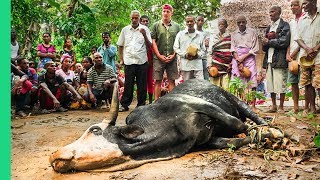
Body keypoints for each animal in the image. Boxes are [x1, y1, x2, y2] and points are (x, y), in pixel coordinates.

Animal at [50, 79, 268, 172]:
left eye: (94, 130)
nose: (54, 155)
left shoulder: (202, 105)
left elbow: (236, 123)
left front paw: (266, 135)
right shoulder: (205, 139)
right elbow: (232, 142)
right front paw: (251, 138)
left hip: (235, 99)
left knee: (250, 115)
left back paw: (268, 126)